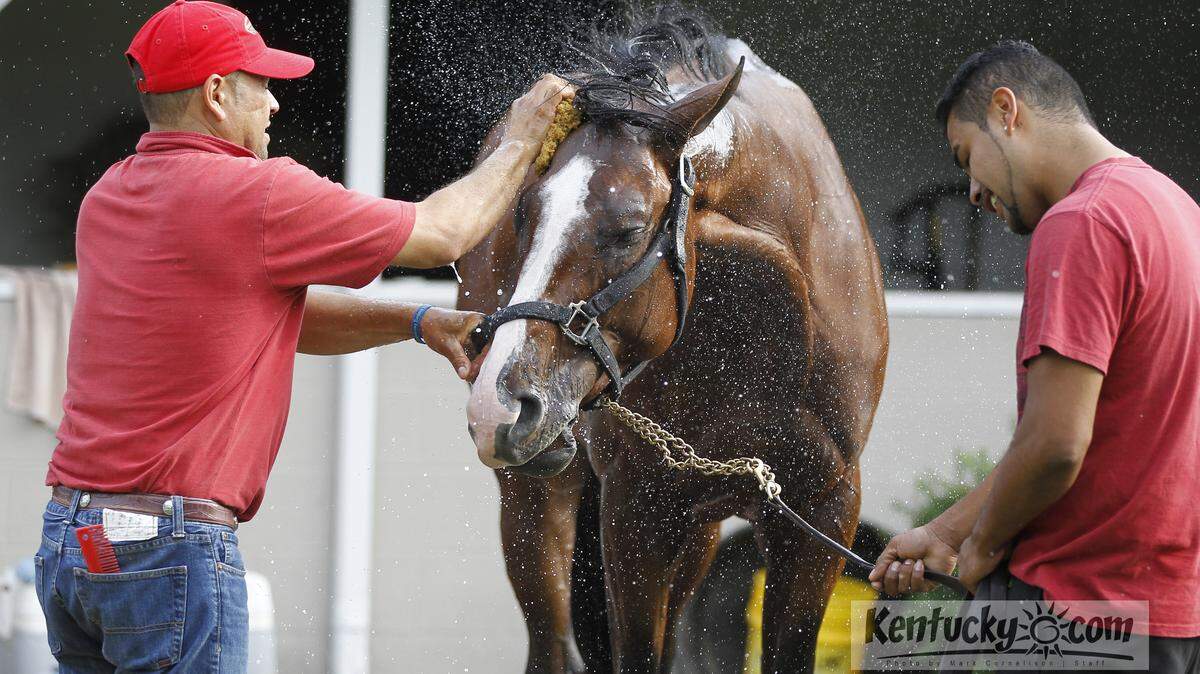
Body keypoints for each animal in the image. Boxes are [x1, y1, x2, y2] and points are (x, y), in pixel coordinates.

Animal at [457, 7, 888, 672]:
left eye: (629, 228)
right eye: (523, 215)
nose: (500, 403)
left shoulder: (822, 513)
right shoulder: (637, 508)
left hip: (700, 530)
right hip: (535, 499)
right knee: (551, 641)